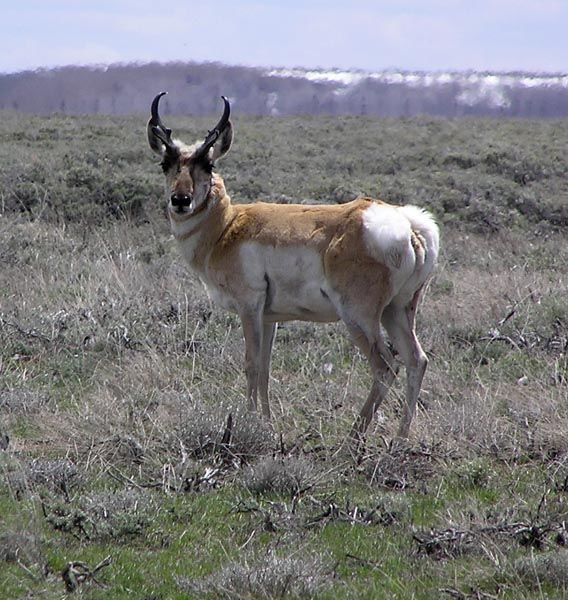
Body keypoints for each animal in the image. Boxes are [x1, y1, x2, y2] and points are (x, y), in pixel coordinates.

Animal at [146, 95, 440, 440]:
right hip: (397, 311)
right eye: (165, 163)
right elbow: (265, 368)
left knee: (386, 367)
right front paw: (267, 423)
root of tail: (408, 225)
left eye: (208, 164)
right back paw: (400, 438)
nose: (181, 200)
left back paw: (352, 437)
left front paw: (248, 423)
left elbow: (251, 365)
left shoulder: (249, 308)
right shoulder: (269, 318)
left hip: (359, 318)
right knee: (416, 361)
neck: (228, 226)